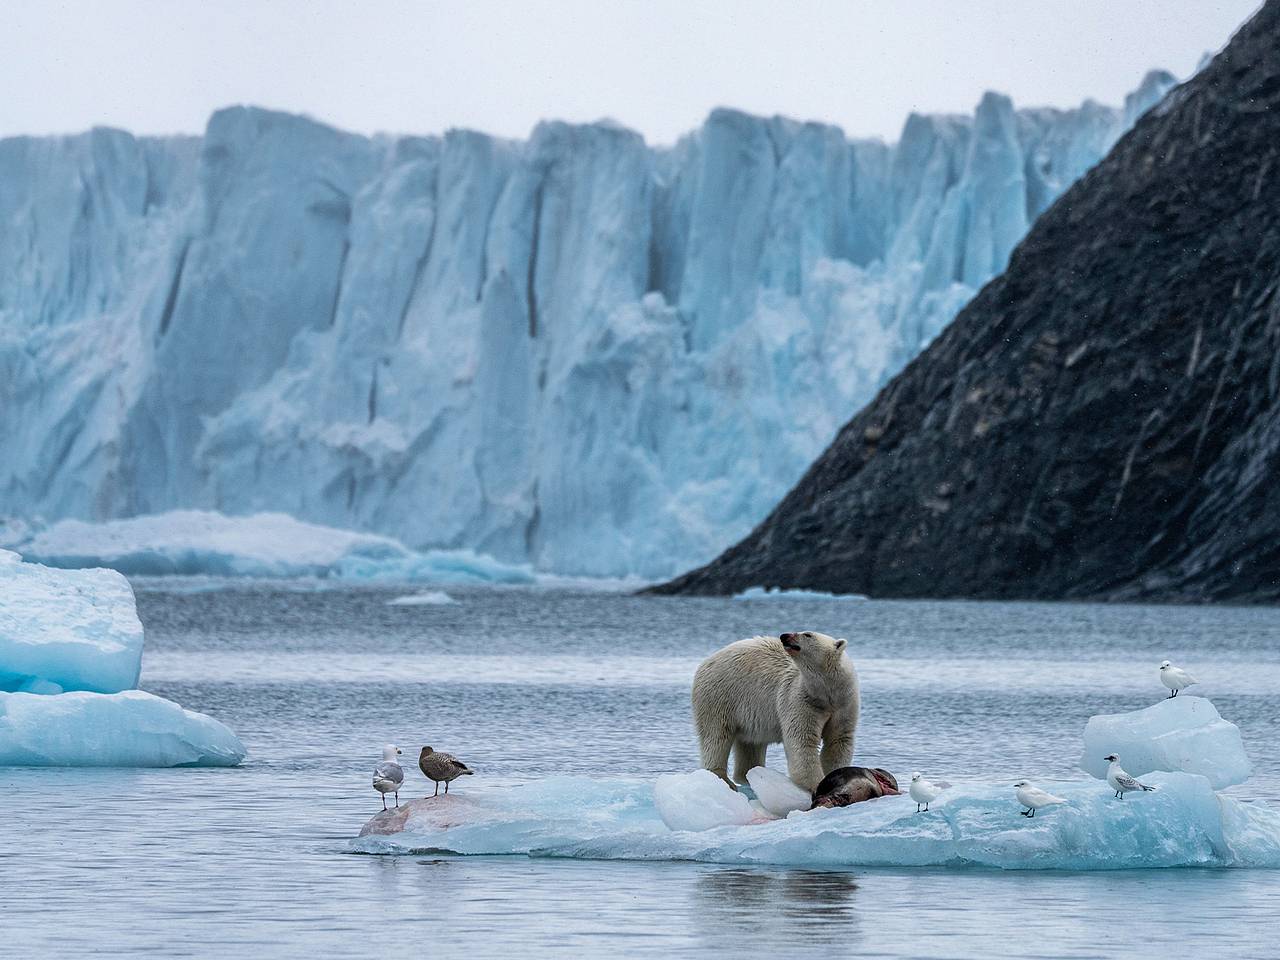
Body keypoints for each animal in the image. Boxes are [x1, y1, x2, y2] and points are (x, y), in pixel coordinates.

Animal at [691, 632, 860, 788]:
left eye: (807, 634)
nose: (784, 636)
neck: (826, 693)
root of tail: (706, 662)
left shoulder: (844, 704)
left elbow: (838, 740)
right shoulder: (800, 700)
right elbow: (802, 741)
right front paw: (816, 785)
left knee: (750, 744)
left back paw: (749, 775)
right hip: (719, 696)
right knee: (716, 735)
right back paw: (722, 778)